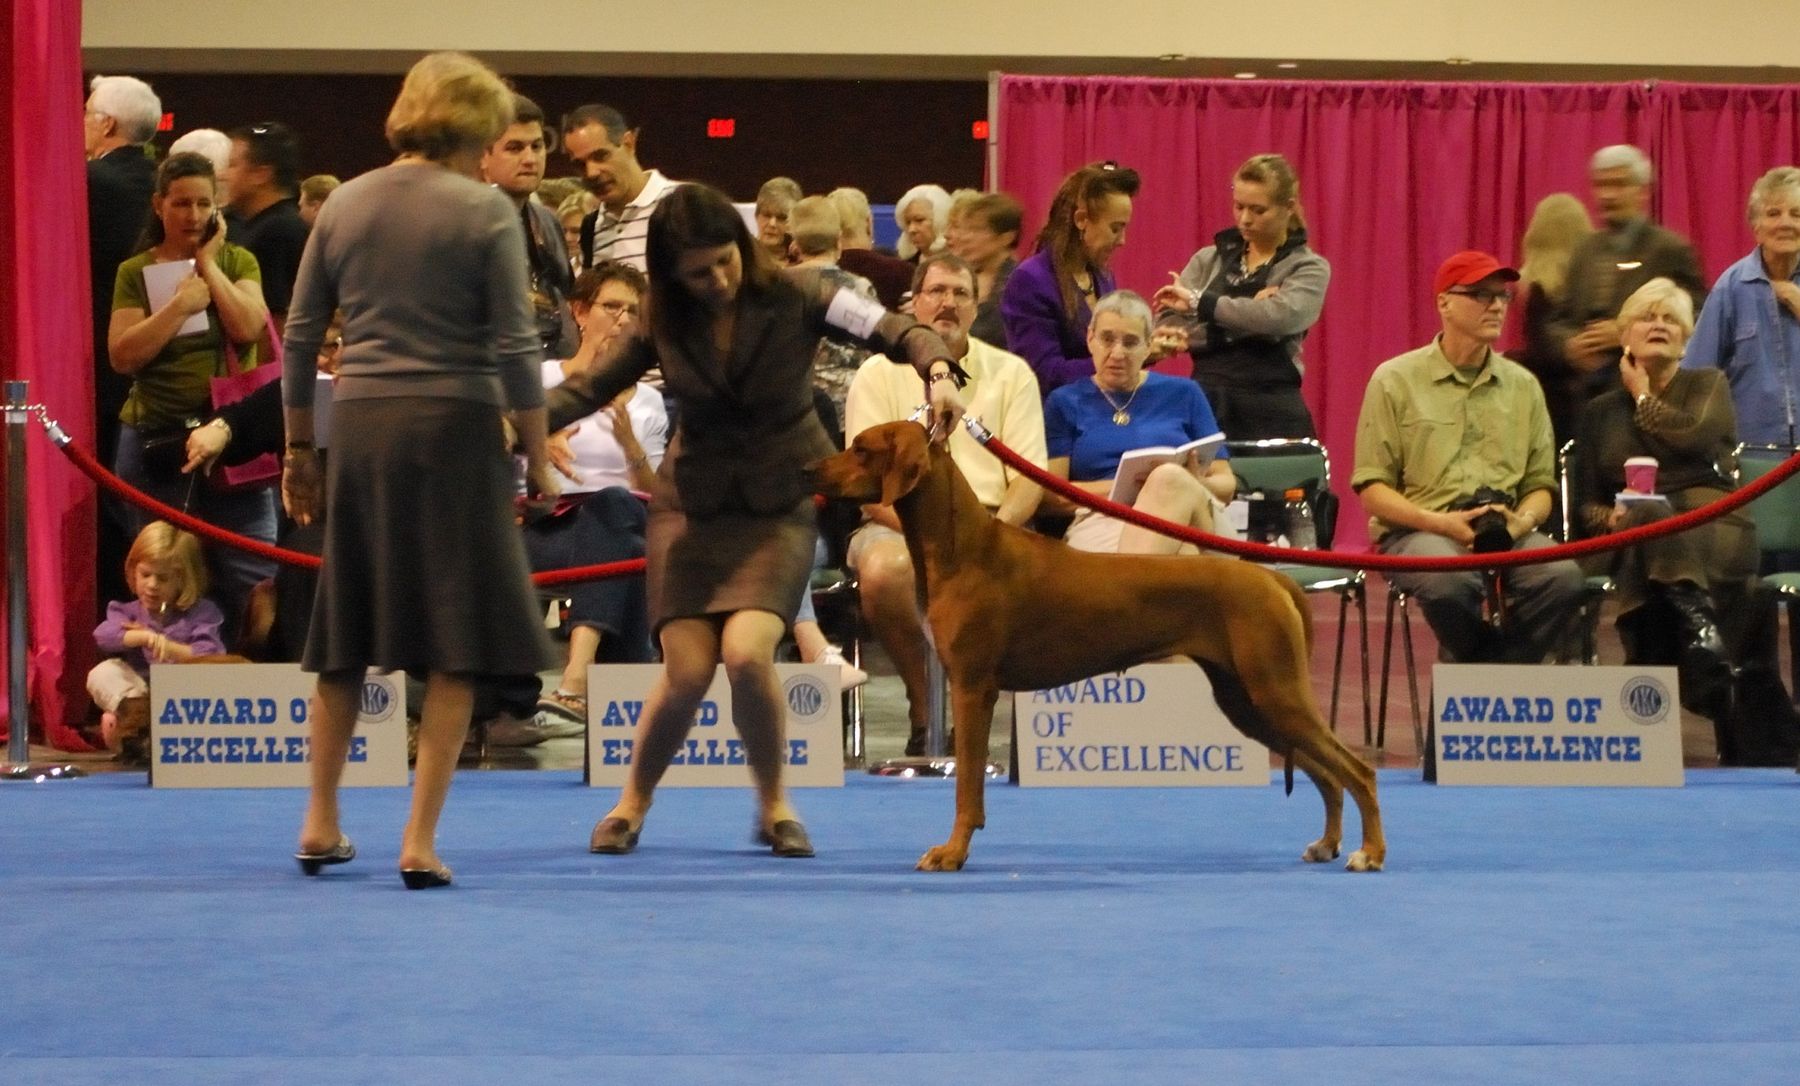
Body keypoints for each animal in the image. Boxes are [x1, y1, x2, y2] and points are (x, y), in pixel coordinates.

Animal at [810, 425, 1382, 875]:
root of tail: (1272, 578)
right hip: (1246, 700)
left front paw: (952, 853)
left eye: (860, 448)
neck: (962, 547)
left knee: (1357, 770)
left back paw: (1370, 852)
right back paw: (1328, 844)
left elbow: (966, 785)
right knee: (1327, 773)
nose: (809, 468)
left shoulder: (972, 688)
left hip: (1274, 691)